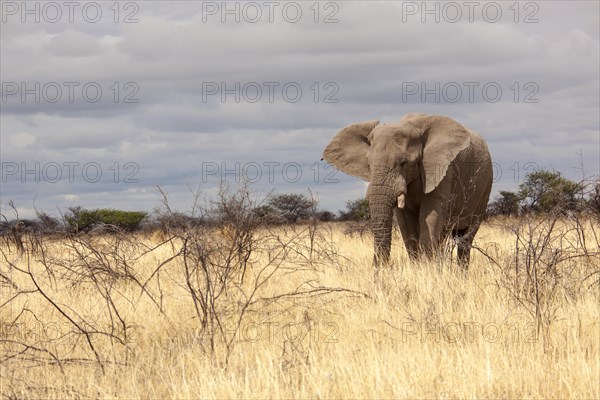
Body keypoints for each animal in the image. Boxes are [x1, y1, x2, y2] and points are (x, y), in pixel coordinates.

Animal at [324, 113, 492, 268]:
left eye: (403, 163)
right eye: (369, 164)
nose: (380, 271)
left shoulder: (442, 170)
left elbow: (431, 216)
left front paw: (426, 271)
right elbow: (406, 225)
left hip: (485, 187)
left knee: (466, 238)